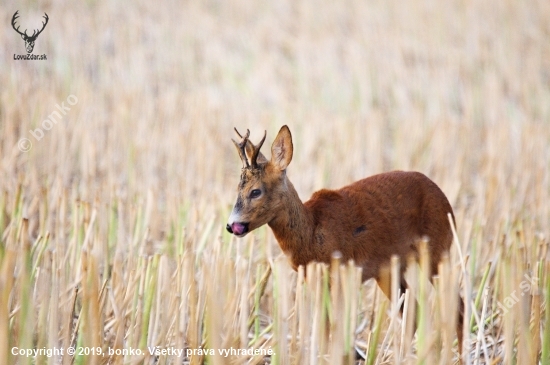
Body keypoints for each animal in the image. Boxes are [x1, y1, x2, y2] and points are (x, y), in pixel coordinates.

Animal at [227, 126, 466, 352]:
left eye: (255, 192)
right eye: (237, 189)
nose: (231, 225)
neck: (311, 234)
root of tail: (444, 198)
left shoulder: (342, 271)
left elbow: (336, 328)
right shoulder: (314, 278)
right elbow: (322, 329)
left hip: (438, 250)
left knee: (458, 307)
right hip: (389, 269)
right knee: (412, 312)